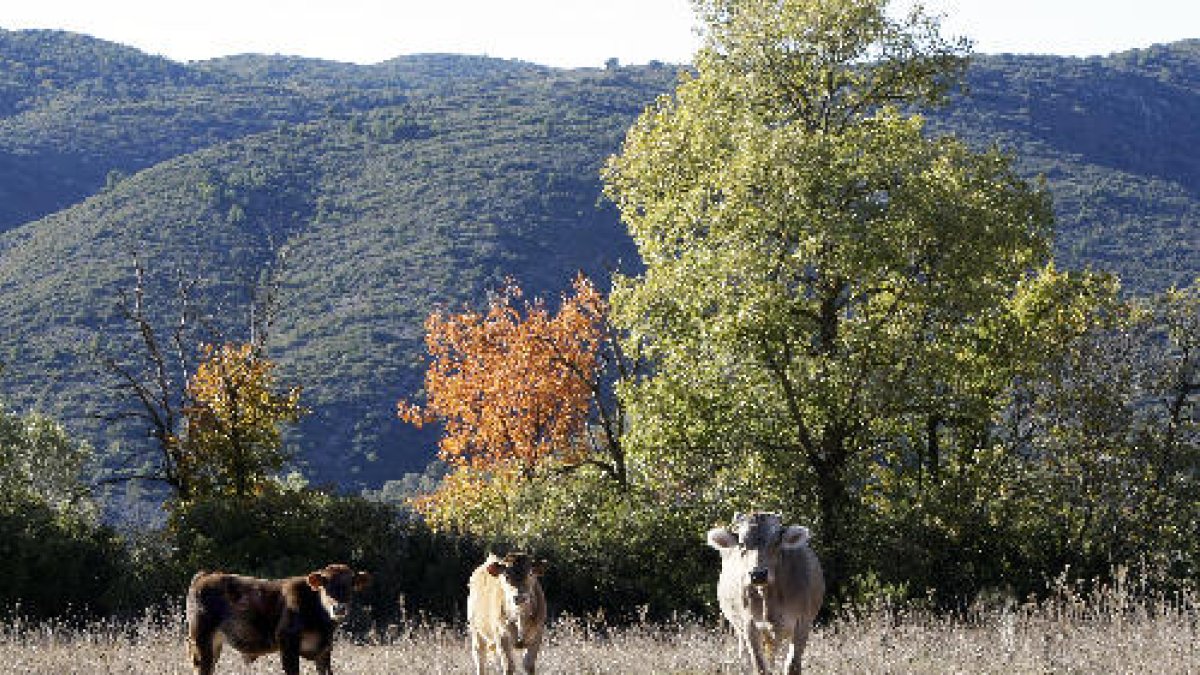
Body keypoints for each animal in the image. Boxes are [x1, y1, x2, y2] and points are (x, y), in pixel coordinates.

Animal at [182, 562, 367, 672]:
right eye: (325, 586)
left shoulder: (324, 651)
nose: (339, 608)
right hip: (201, 640)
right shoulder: (288, 643)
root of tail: (205, 575)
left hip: (214, 644)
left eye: (350, 585)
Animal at [700, 509, 825, 672]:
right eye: (742, 543)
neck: (769, 598)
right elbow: (759, 665)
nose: (758, 574)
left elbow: (792, 665)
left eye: (776, 541)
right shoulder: (749, 625)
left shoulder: (803, 622)